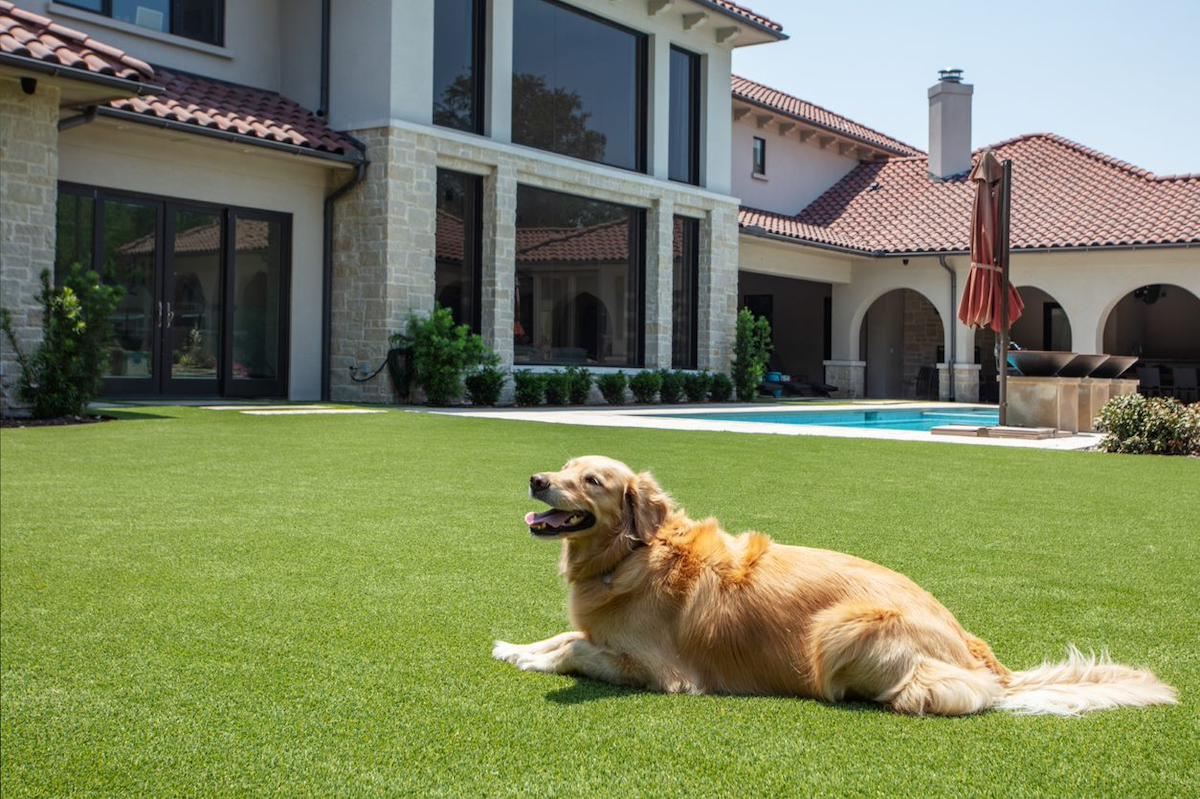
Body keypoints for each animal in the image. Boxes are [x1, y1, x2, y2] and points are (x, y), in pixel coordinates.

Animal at [492, 453, 1176, 715]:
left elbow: (578, 648)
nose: (535, 479)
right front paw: (514, 648)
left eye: (593, 482)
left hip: (840, 629)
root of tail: (976, 653)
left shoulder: (660, 672)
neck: (632, 555)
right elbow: (562, 636)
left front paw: (536, 660)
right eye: (564, 468)